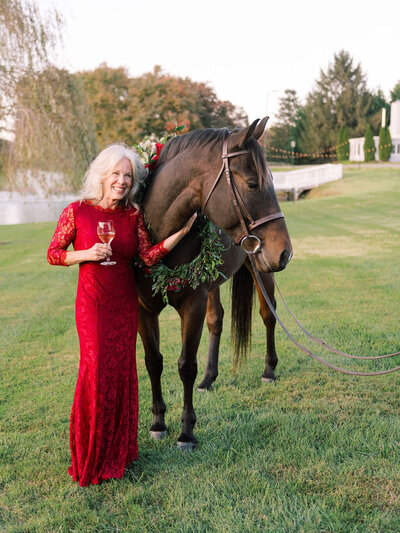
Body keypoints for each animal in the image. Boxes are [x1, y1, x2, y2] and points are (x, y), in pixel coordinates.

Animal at [136, 117, 292, 448]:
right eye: (253, 184)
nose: (285, 251)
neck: (160, 239)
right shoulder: (144, 308)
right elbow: (153, 361)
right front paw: (158, 422)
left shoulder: (192, 305)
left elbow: (185, 366)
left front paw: (186, 431)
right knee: (217, 320)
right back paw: (209, 378)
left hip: (261, 270)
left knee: (268, 315)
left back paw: (269, 371)